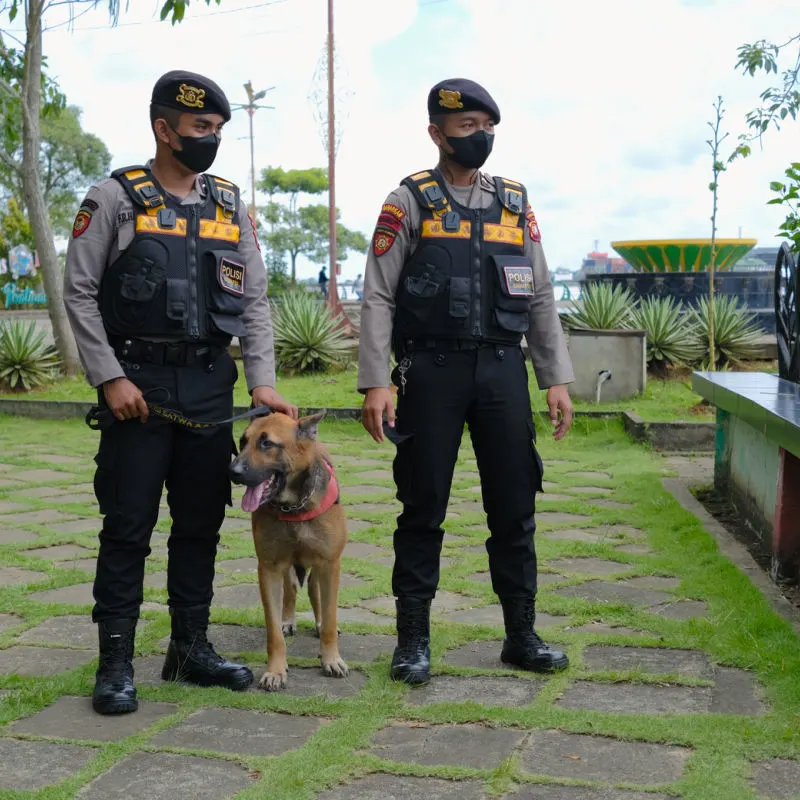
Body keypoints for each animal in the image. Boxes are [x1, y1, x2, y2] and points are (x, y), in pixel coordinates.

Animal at [227, 410, 348, 692]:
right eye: (243, 441)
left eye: (267, 443)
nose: (232, 471)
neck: (293, 506)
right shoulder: (269, 567)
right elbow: (273, 631)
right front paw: (275, 671)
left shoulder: (330, 564)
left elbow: (330, 617)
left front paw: (330, 658)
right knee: (291, 587)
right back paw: (288, 619)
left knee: (314, 591)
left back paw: (318, 624)